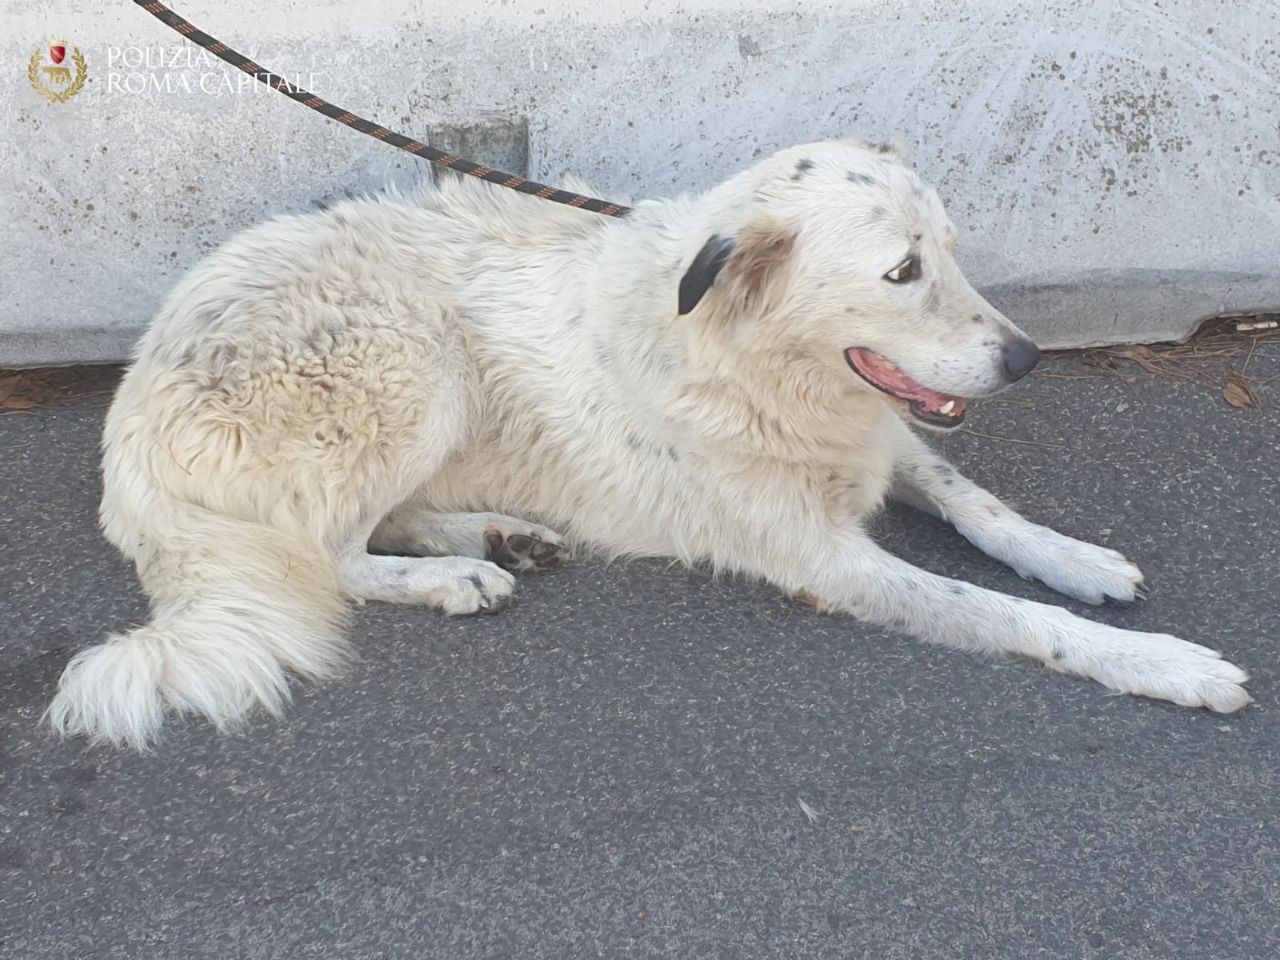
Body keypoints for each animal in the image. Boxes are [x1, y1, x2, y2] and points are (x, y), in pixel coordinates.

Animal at [47, 138, 1249, 752]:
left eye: (952, 251)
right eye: (902, 271)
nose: (1025, 359)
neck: (740, 356)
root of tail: (133, 403)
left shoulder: (882, 439)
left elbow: (981, 507)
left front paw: (1077, 559)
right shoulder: (824, 559)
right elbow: (1010, 617)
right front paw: (1165, 665)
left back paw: (500, 534)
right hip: (416, 364)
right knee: (331, 552)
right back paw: (454, 576)